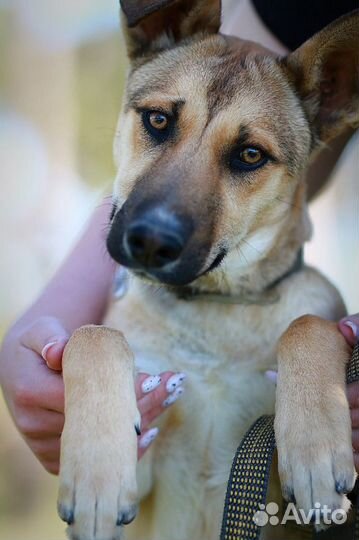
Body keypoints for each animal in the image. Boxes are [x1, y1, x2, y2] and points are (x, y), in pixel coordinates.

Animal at [56, 2, 359, 536]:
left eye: (250, 155)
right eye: (158, 120)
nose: (151, 242)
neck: (215, 308)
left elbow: (307, 324)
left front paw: (315, 449)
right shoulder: (150, 444)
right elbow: (92, 336)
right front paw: (96, 474)